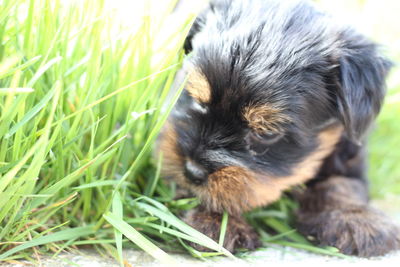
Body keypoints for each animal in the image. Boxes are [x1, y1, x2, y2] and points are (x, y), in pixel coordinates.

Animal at [158, 0, 398, 258]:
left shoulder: (351, 148)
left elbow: (343, 184)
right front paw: (216, 223)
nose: (192, 171)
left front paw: (355, 218)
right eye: (196, 101)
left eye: (266, 133)